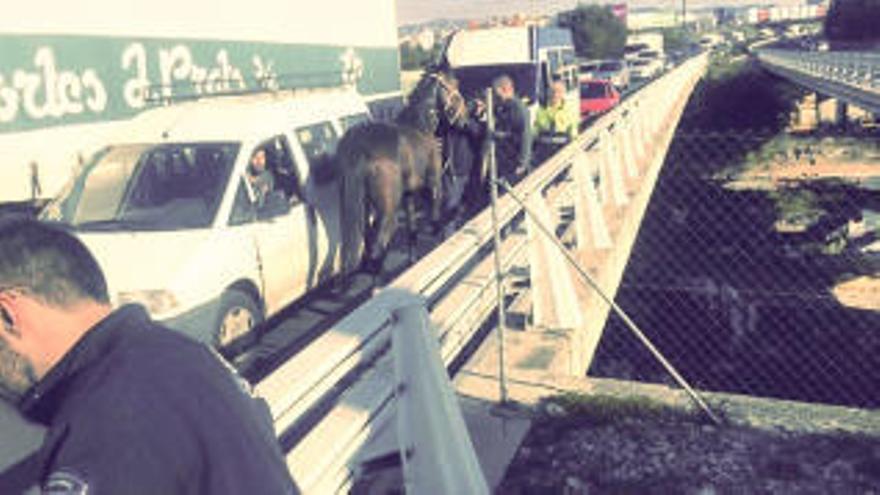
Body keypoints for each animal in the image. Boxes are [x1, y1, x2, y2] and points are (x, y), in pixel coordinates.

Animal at [336, 67, 474, 278]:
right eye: (454, 86)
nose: (465, 119)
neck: (419, 125)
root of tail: (359, 146)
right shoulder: (435, 185)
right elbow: (436, 221)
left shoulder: (409, 195)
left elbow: (412, 230)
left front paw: (413, 261)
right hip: (388, 213)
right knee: (376, 251)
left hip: (363, 209)